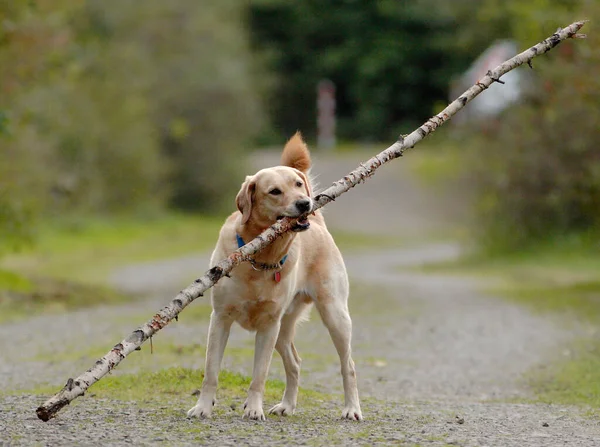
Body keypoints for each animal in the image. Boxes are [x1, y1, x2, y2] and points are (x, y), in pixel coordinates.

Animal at [188, 135, 360, 422]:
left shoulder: (268, 325)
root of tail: (319, 223)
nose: (305, 203)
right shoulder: (220, 319)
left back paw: (352, 408)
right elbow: (211, 371)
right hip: (284, 329)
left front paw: (253, 409)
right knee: (295, 364)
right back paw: (287, 405)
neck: (260, 257)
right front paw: (203, 407)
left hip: (334, 315)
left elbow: (260, 374)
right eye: (274, 191)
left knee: (348, 365)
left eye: (298, 184)